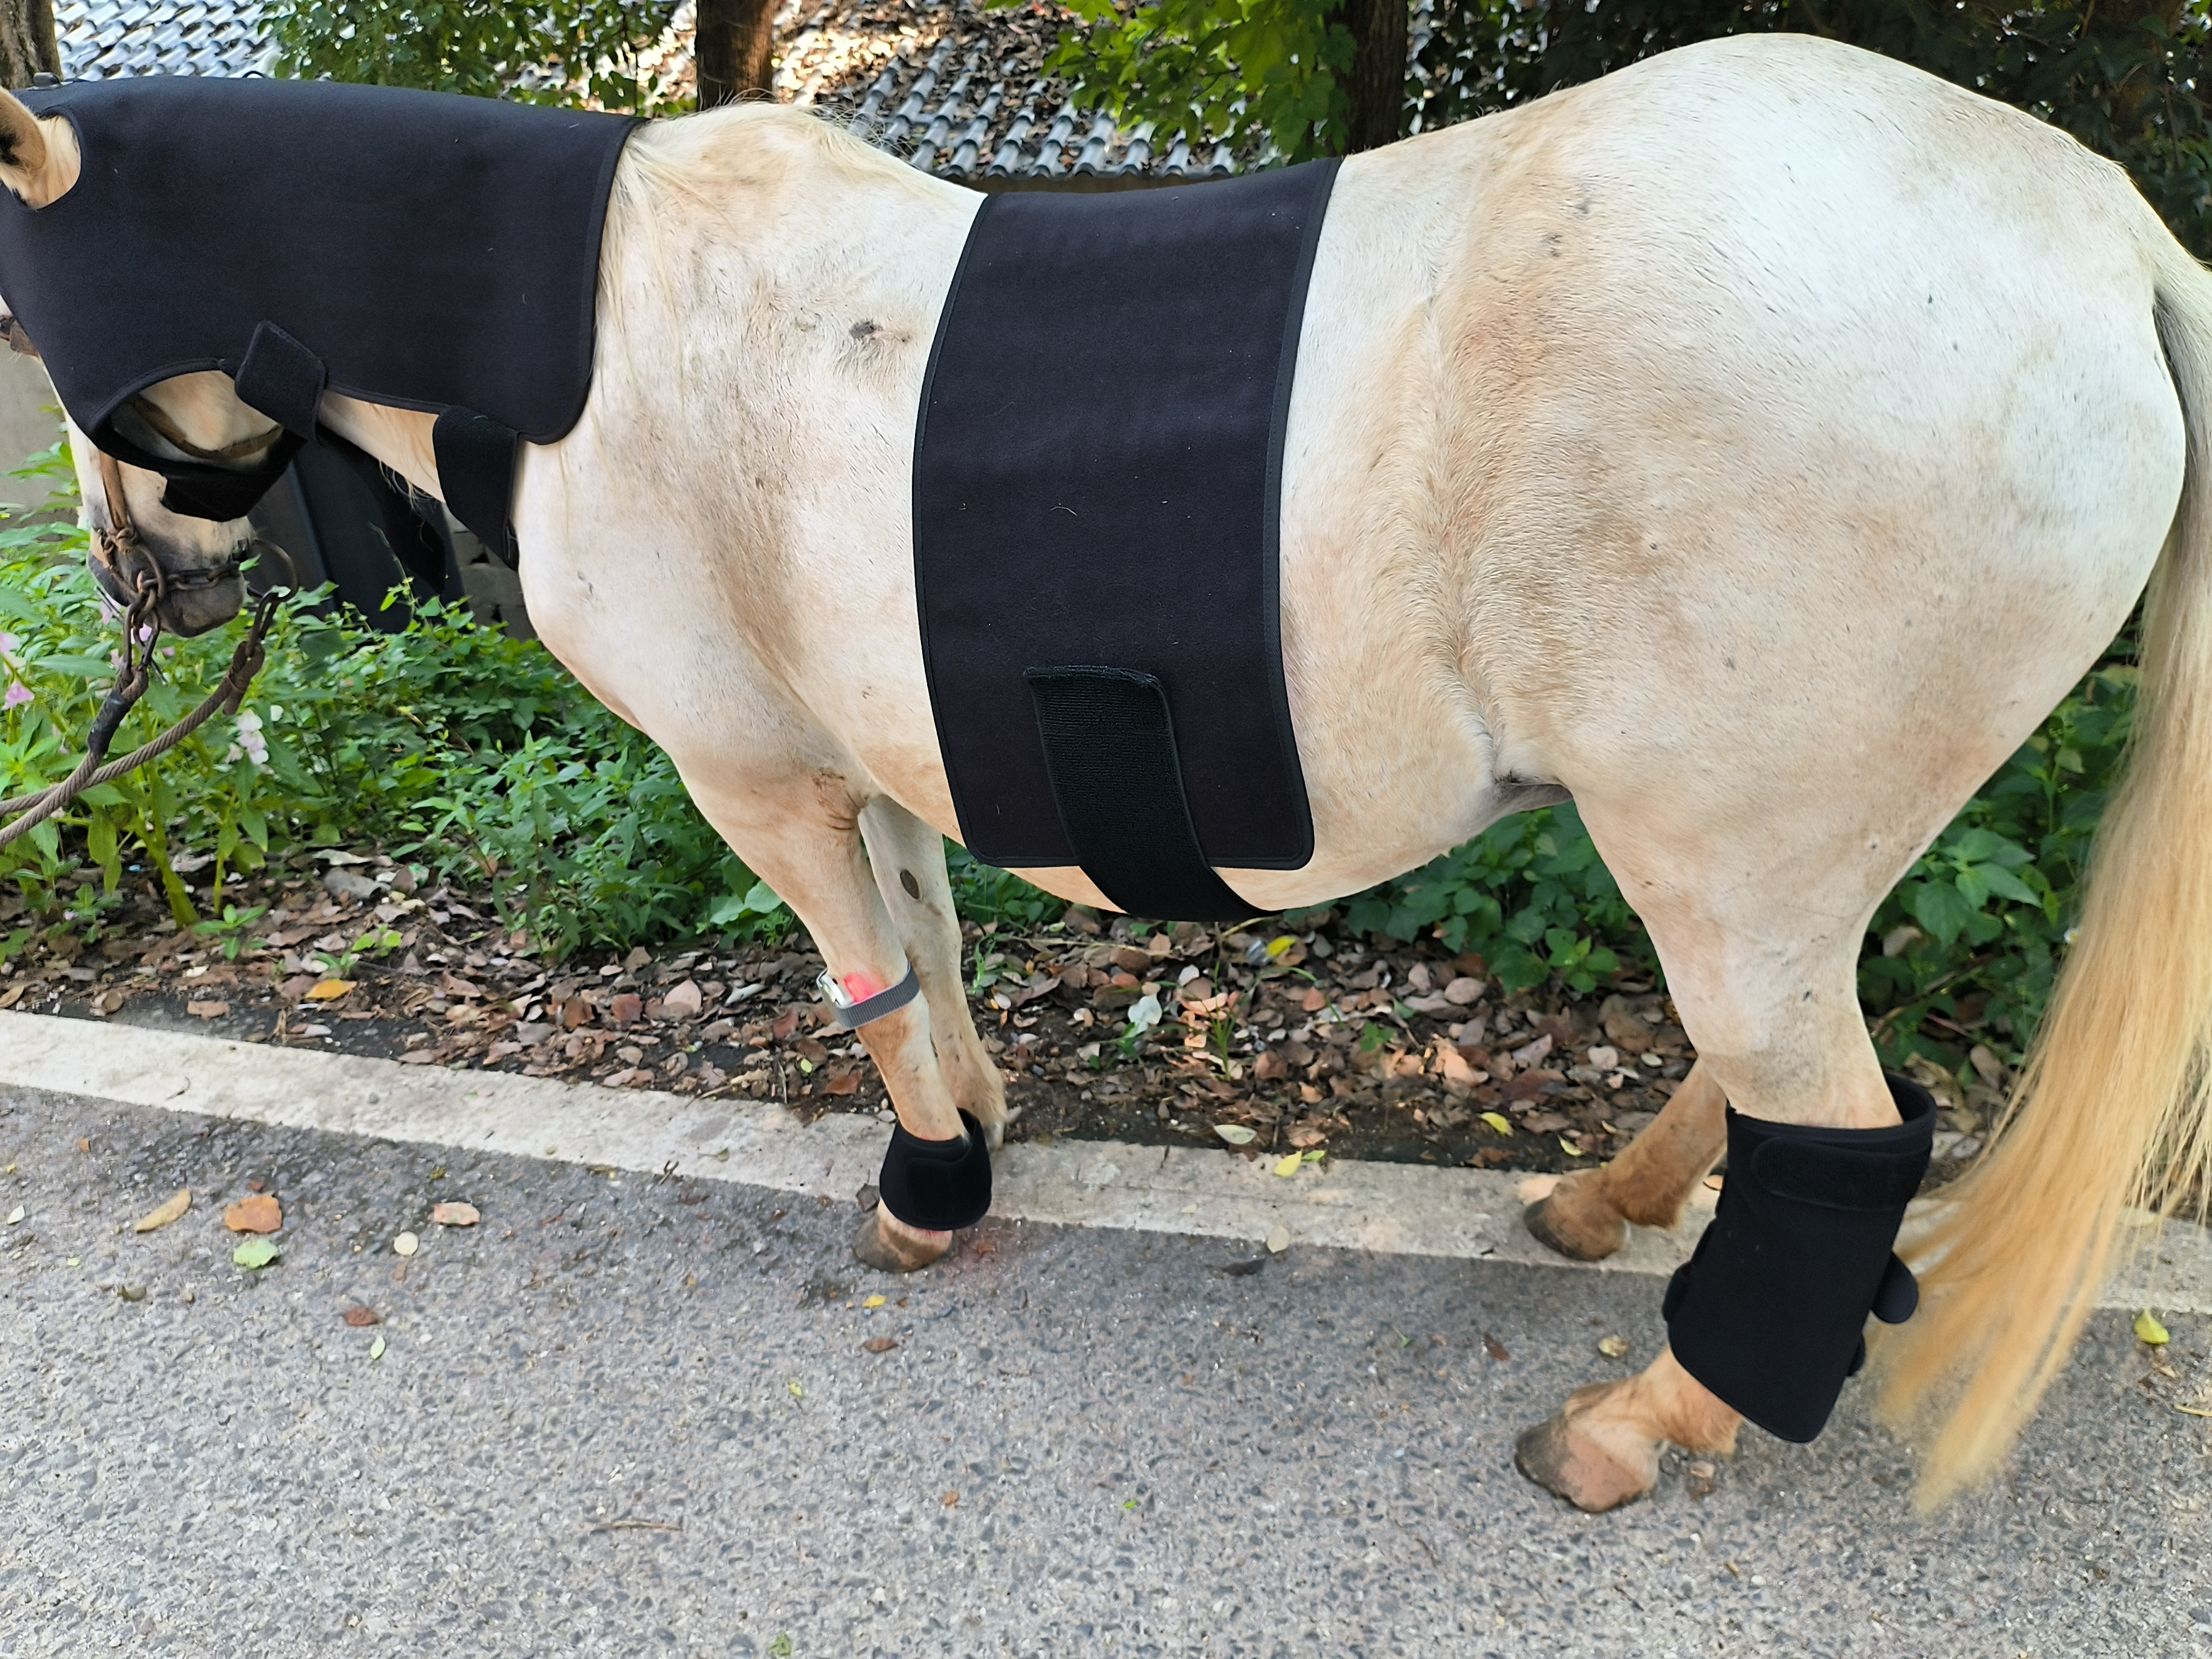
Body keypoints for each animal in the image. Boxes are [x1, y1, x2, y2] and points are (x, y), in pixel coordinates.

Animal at [0, 31, 2204, 1513]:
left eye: (43, 335)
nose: (138, 589)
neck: (591, 345)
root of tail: (2105, 238)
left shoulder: (751, 774)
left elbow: (866, 987)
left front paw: (925, 1194)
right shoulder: (864, 753)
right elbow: (931, 954)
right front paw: (980, 1127)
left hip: (1723, 855)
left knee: (1832, 1128)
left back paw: (1642, 1423)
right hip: (1780, 853)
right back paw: (1603, 1211)